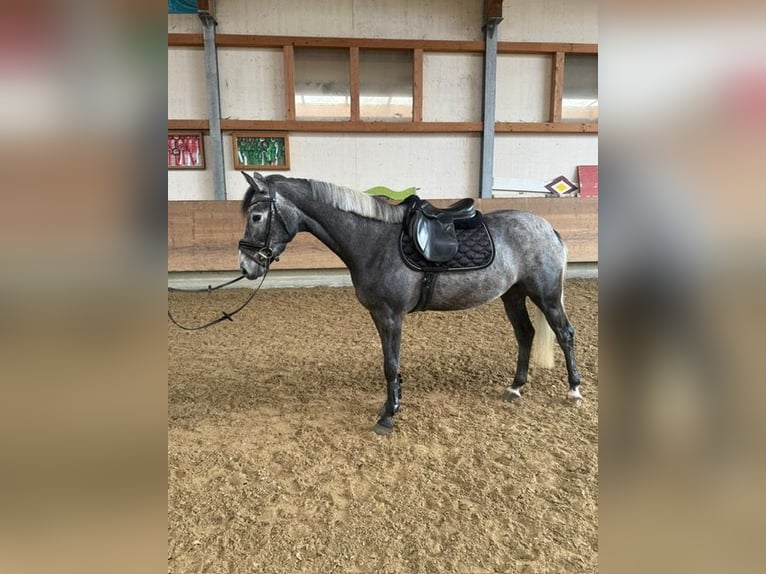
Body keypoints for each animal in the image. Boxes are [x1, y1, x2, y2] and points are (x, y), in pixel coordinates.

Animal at [237, 172, 582, 434]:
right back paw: (515, 388)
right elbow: (390, 361)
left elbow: (390, 363)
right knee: (525, 334)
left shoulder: (391, 315)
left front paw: (388, 415)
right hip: (513, 295)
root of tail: (548, 228)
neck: (374, 241)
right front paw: (394, 401)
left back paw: (574, 390)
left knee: (564, 334)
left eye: (256, 216)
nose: (246, 265)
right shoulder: (380, 315)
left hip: (546, 296)